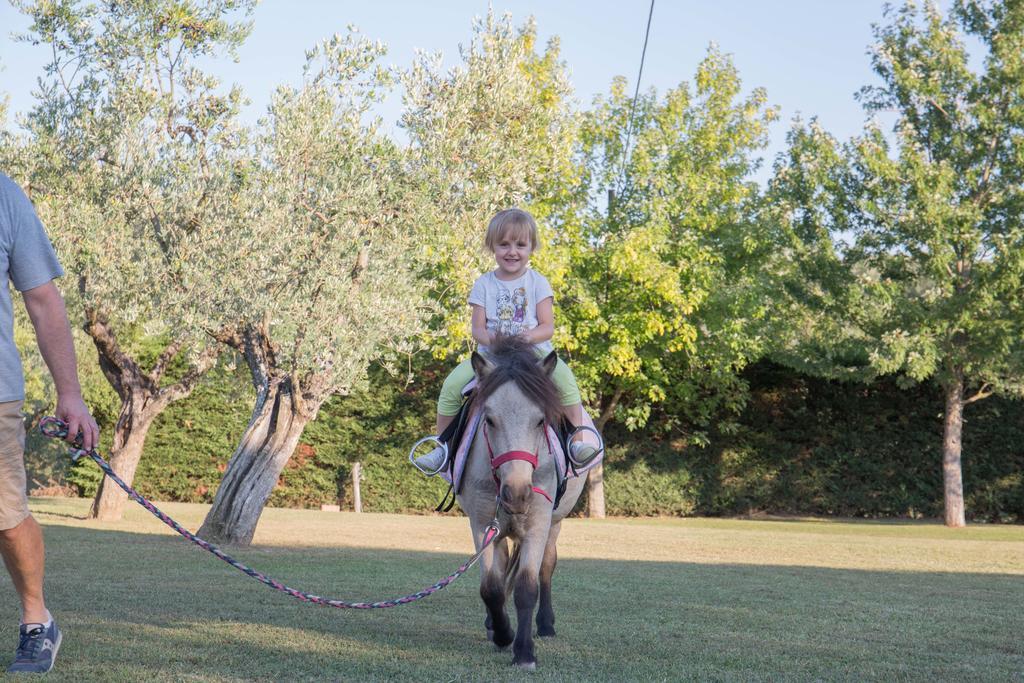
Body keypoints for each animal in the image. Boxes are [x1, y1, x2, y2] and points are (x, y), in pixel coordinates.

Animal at [460, 339, 589, 671]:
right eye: (489, 420)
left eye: (541, 420)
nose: (517, 494)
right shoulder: (482, 525)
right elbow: (491, 588)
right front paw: (503, 633)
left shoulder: (538, 524)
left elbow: (527, 586)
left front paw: (524, 652)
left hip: (554, 523)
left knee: (546, 568)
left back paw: (544, 625)